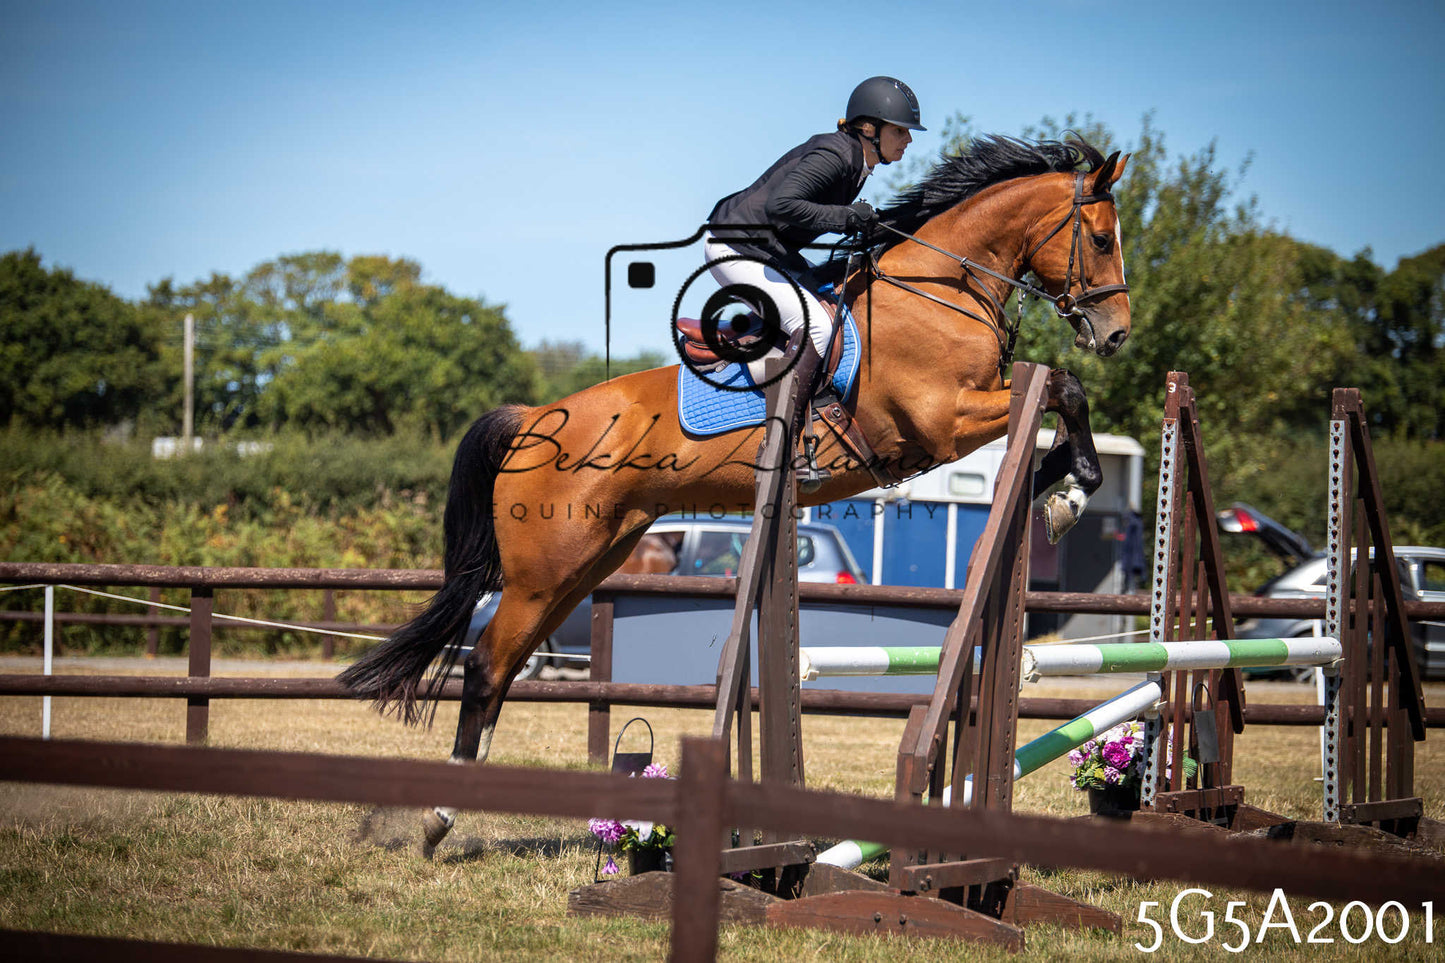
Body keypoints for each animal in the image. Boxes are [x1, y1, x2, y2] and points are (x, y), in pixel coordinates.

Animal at [339, 135, 1131, 853]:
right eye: (1099, 239)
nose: (1117, 335)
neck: (941, 291)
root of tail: (534, 417)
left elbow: (1058, 407)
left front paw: (1060, 492)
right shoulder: (943, 421)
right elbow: (1066, 388)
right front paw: (1070, 492)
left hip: (585, 566)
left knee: (504, 666)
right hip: (544, 570)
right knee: (483, 666)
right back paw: (439, 818)